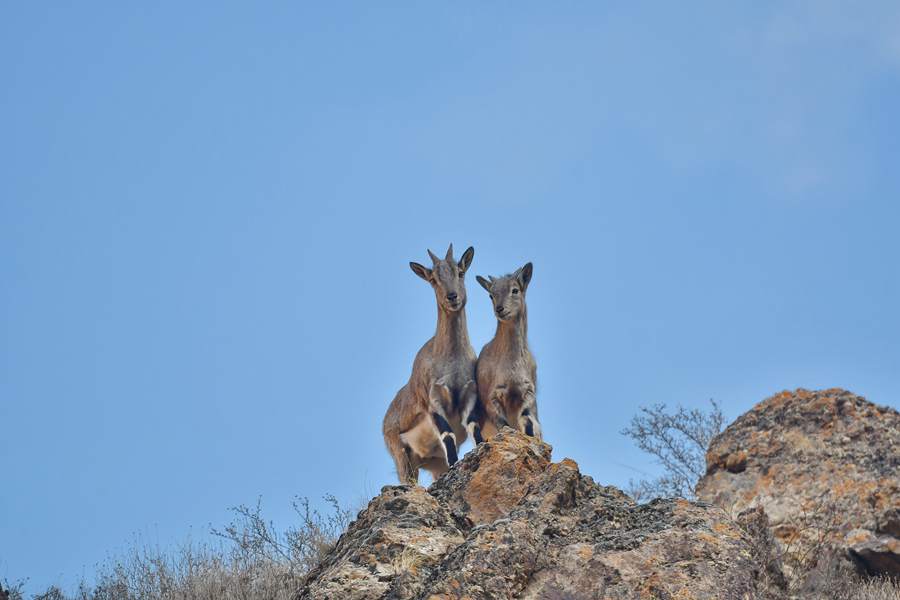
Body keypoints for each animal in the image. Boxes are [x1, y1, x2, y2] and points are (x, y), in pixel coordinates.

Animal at [380, 246, 478, 486]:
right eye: (433, 279)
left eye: (460, 272)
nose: (452, 297)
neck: (450, 360)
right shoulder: (433, 399)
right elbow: (448, 435)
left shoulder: (469, 393)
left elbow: (474, 428)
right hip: (402, 457)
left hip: (434, 464)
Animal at [472, 262, 540, 440]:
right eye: (491, 295)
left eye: (515, 290)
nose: (500, 309)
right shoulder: (491, 396)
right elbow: (503, 424)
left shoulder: (528, 392)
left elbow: (527, 421)